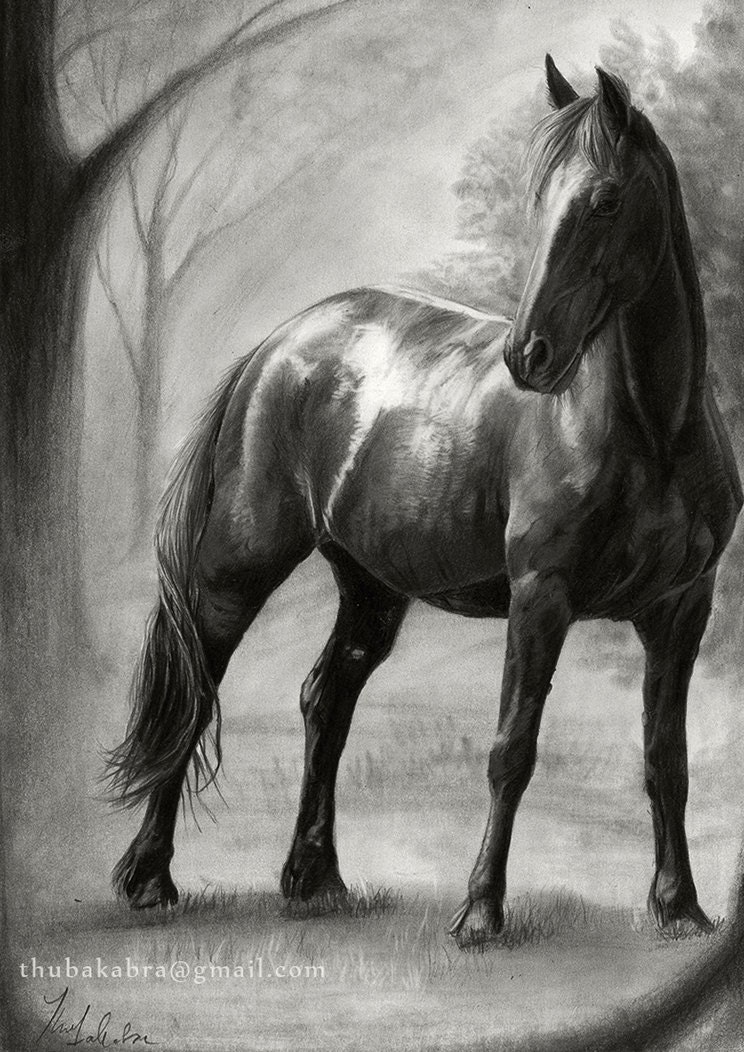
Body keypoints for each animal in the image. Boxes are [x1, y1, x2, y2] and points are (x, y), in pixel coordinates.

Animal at [107, 56, 742, 945]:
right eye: (536, 199)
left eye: (607, 199)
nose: (529, 355)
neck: (650, 432)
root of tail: (277, 346)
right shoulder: (540, 599)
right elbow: (512, 752)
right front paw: (480, 912)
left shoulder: (682, 608)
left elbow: (666, 760)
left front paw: (680, 908)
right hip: (238, 568)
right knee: (200, 690)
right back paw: (149, 879)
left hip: (369, 589)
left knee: (326, 701)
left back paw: (315, 881)